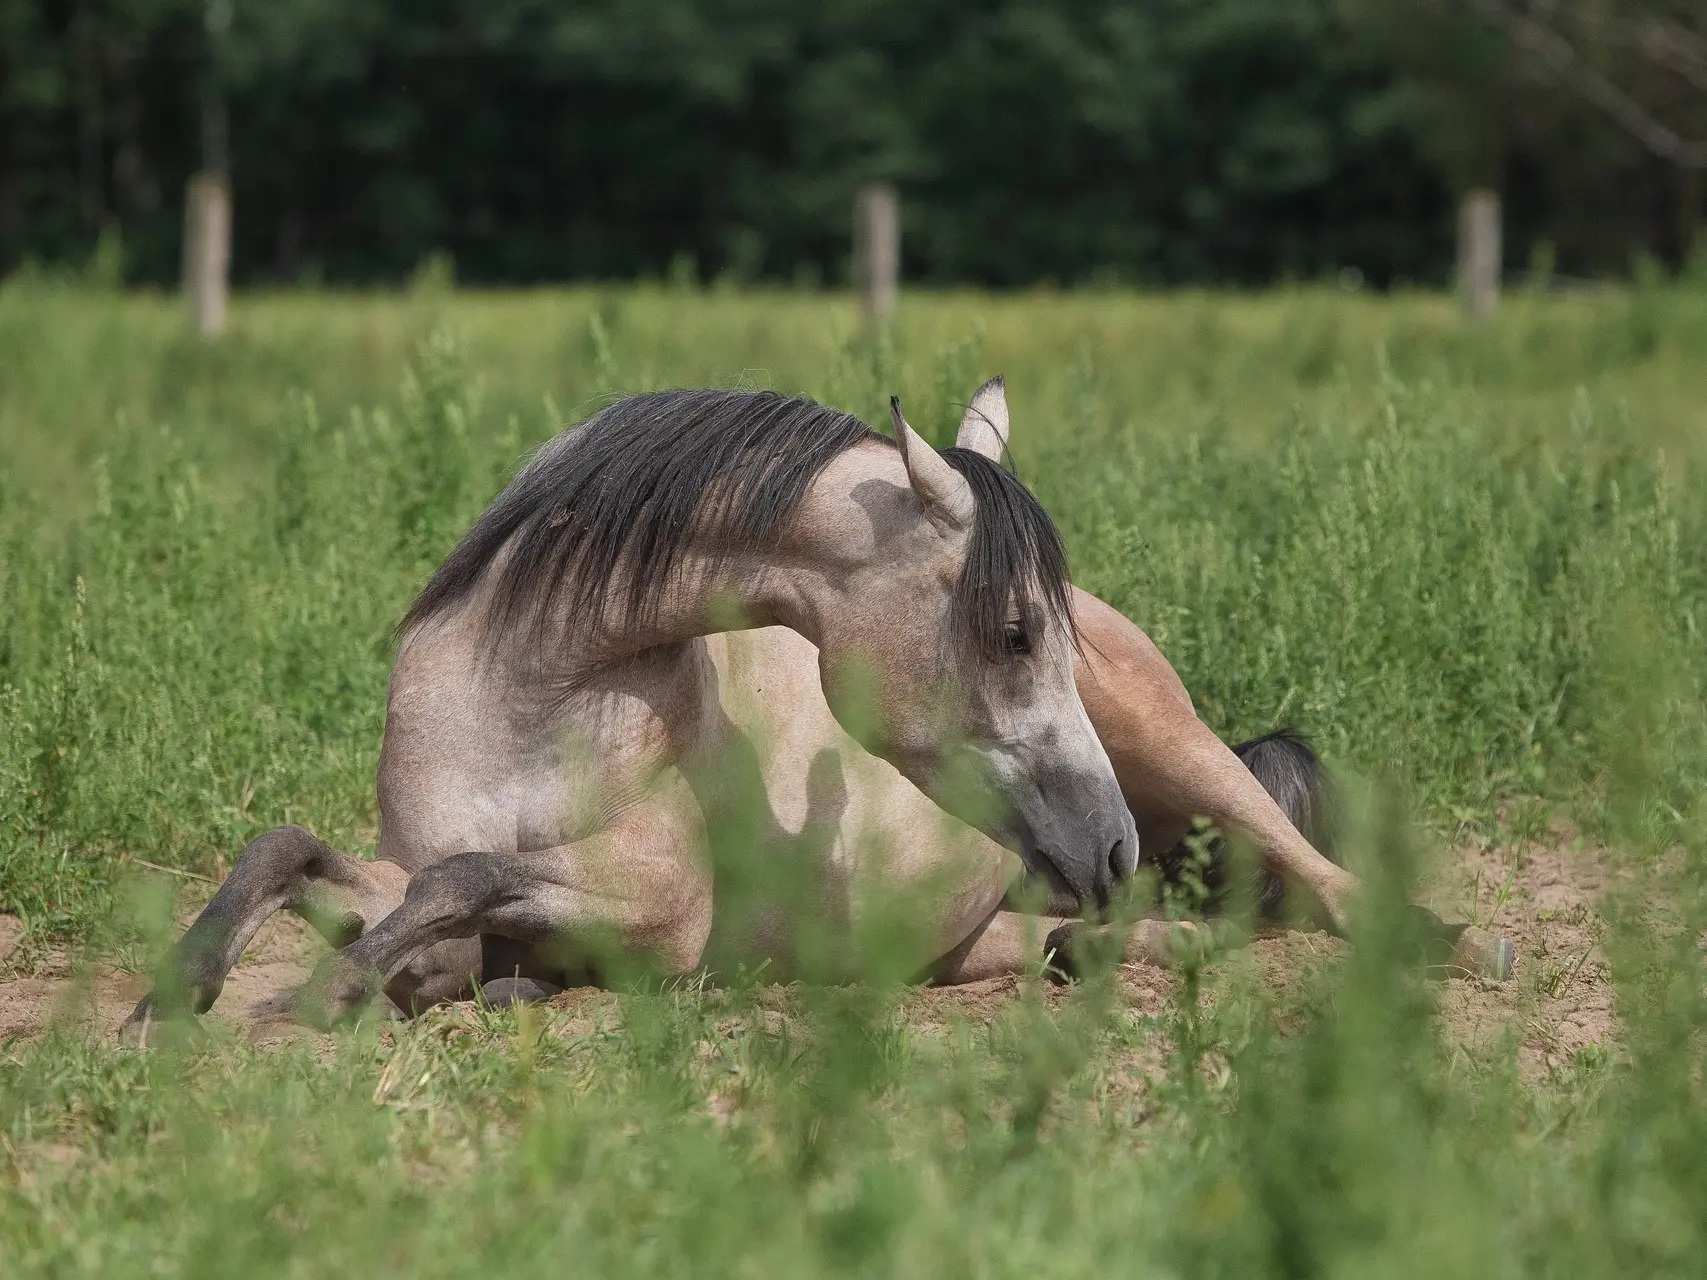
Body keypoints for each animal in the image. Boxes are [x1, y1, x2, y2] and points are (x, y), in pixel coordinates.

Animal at [123, 378, 1508, 1044]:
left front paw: (319, 993)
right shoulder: (409, 875)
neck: (529, 704)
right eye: (1016, 631)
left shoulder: (656, 912)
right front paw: (177, 990)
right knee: (1134, 940)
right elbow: (304, 853)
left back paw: (1452, 942)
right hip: (1020, 925)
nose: (1109, 841)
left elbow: (459, 879)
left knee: (1316, 880)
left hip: (1177, 745)